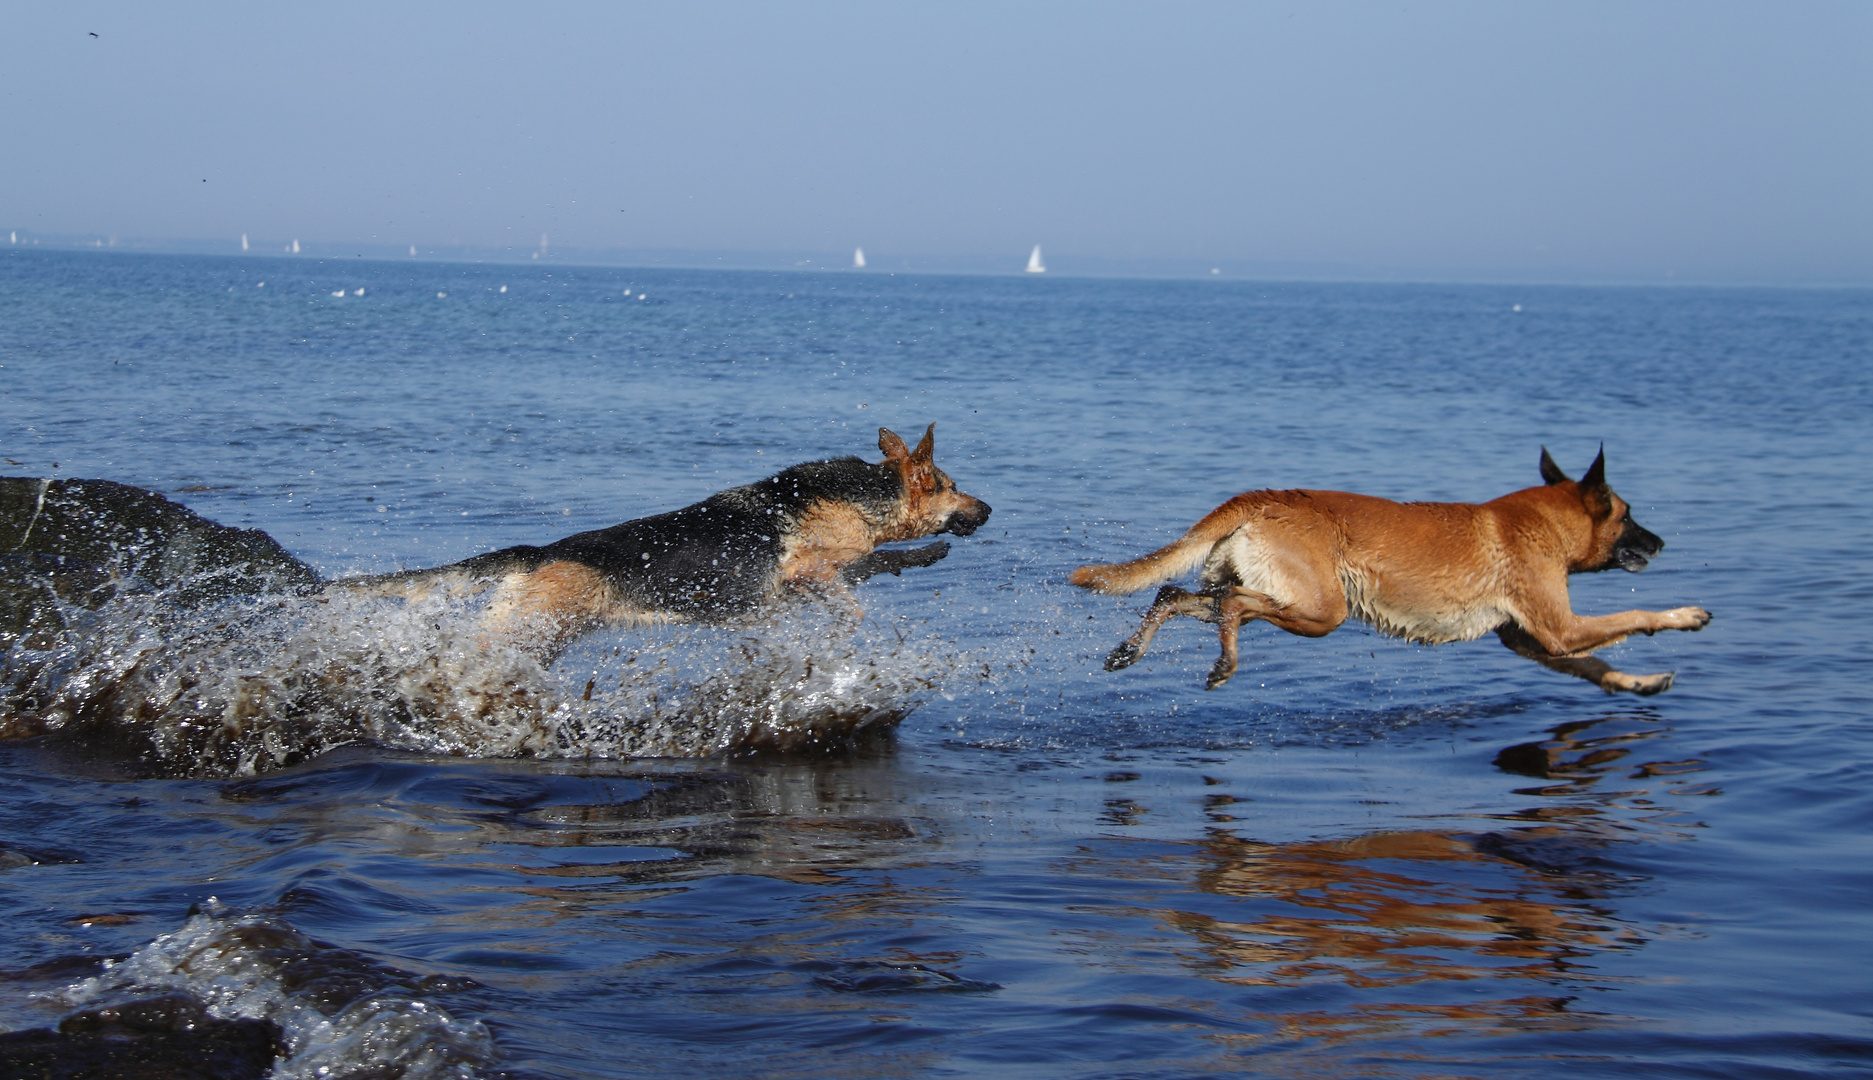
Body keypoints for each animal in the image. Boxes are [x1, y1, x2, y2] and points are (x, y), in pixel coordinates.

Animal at [353, 424, 996, 662]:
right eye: (951, 486)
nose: (989, 508)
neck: (864, 495)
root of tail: (541, 552)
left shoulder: (818, 577)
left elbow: (880, 562)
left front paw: (926, 555)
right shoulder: (809, 573)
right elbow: (865, 576)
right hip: (531, 628)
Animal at [1071, 443, 1715, 688]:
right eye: (1629, 515)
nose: (1661, 543)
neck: (1546, 523)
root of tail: (1269, 497)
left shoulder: (1534, 641)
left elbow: (1597, 666)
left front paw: (1638, 684)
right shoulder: (1560, 629)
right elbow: (1634, 618)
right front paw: (1684, 616)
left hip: (1274, 595)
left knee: (1171, 598)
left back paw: (1129, 652)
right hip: (1320, 610)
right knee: (1231, 606)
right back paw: (1225, 663)